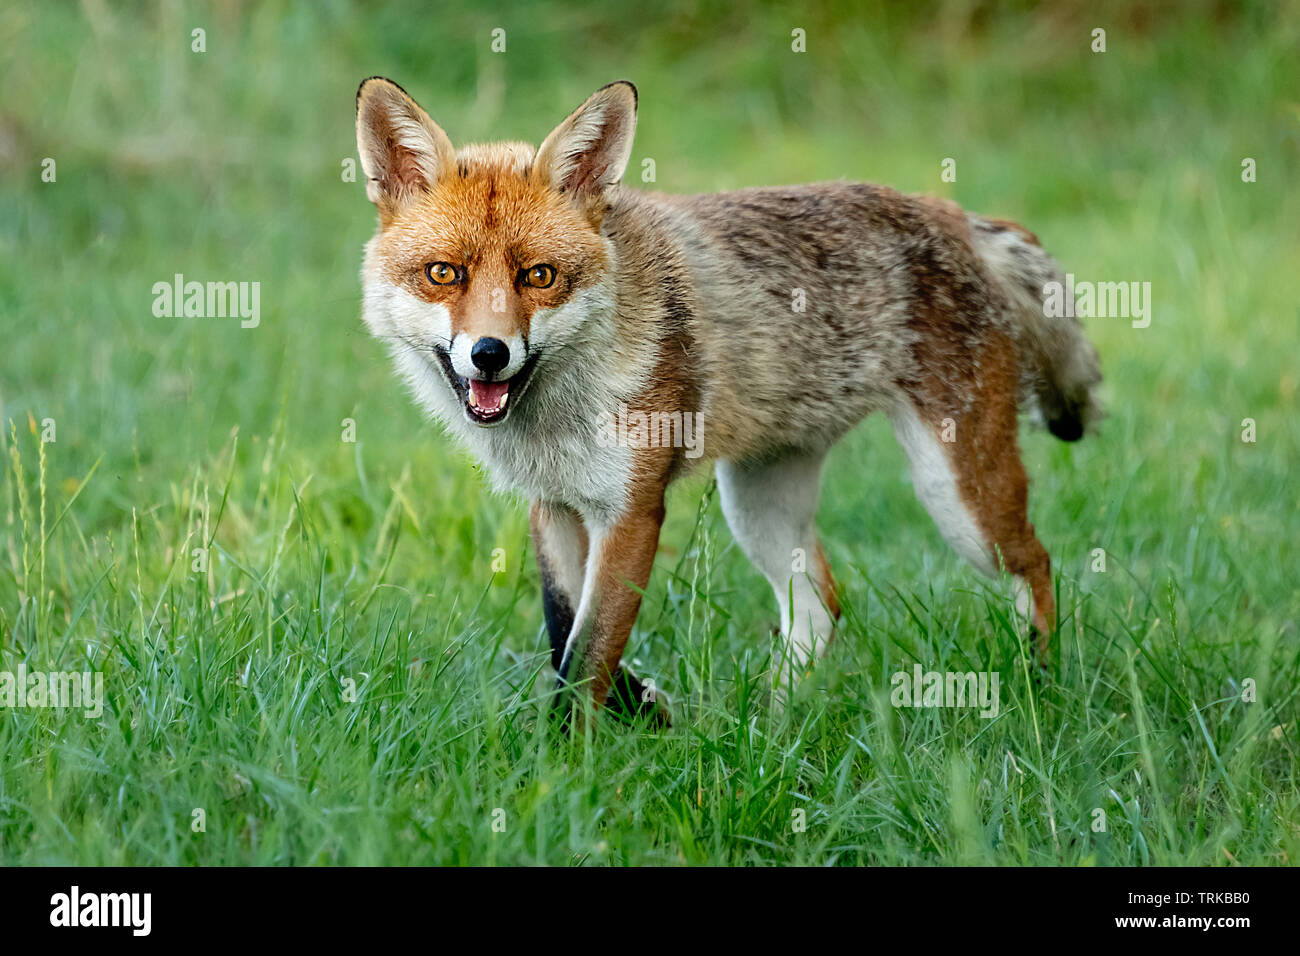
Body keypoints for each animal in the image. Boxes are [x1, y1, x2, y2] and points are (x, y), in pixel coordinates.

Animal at [353, 78, 1097, 728]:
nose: (489, 353)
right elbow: (564, 631)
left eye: (539, 276)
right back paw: (774, 725)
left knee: (1037, 566)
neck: (557, 413)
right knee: (820, 606)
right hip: (760, 506)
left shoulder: (632, 511)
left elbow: (588, 653)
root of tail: (955, 214)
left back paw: (1038, 686)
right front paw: (643, 709)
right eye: (444, 274)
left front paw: (564, 762)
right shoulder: (555, 506)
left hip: (958, 500)